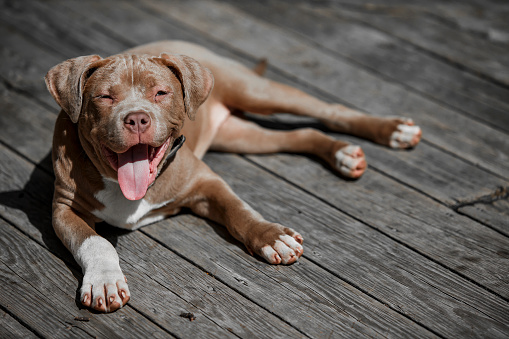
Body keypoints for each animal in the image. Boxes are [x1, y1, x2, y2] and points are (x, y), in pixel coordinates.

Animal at [44, 40, 420, 314]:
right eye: (105, 97)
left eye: (161, 93)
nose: (136, 118)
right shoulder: (63, 207)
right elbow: (95, 241)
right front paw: (105, 281)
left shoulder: (206, 182)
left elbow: (239, 210)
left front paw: (272, 237)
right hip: (240, 135)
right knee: (300, 134)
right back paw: (341, 153)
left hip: (257, 92)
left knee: (329, 110)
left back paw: (391, 131)